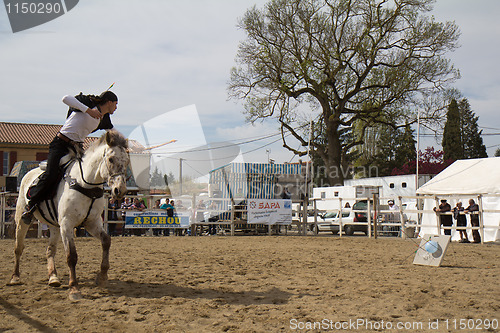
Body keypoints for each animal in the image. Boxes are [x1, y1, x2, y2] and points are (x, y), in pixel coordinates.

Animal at [9, 130, 130, 300]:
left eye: (127, 161)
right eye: (111, 159)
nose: (120, 190)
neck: (83, 183)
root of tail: (29, 175)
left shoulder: (92, 223)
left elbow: (106, 241)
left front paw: (102, 277)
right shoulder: (67, 225)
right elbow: (71, 256)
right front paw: (74, 289)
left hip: (54, 226)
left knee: (50, 250)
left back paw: (53, 277)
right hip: (22, 218)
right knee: (18, 248)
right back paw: (15, 277)